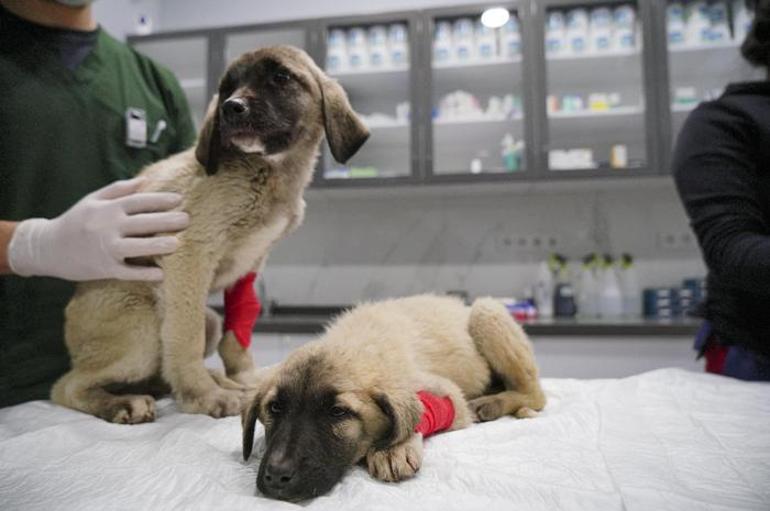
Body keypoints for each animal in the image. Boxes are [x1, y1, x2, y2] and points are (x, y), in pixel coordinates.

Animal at [51, 47, 368, 424]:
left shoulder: (251, 263)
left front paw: (243, 379)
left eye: (281, 77)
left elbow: (238, 333)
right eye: (227, 86)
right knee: (67, 386)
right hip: (143, 328)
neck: (268, 171)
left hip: (209, 319)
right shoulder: (189, 253)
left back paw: (210, 379)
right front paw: (203, 396)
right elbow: (184, 338)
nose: (231, 107)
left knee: (159, 370)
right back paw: (124, 403)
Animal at [243, 294, 544, 502]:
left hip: (486, 311)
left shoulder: (449, 396)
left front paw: (392, 449)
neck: (355, 344)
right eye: (275, 408)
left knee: (536, 395)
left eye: (338, 412)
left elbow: (416, 415)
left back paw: (492, 404)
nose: (276, 476)